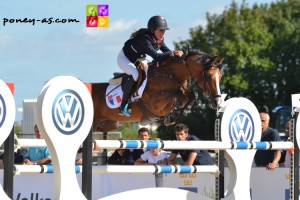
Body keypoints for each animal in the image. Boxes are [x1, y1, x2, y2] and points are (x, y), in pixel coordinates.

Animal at [91, 49, 223, 132]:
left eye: (220, 76)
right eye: (208, 76)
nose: (217, 102)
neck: (170, 75)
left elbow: (193, 95)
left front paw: (174, 117)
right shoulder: (155, 104)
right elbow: (177, 94)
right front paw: (172, 116)